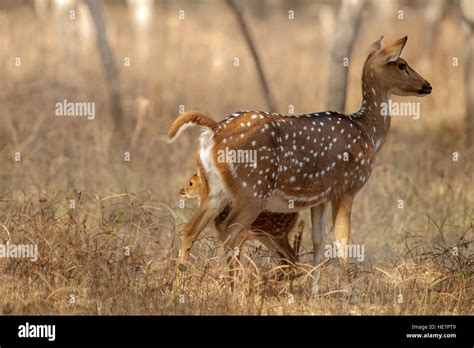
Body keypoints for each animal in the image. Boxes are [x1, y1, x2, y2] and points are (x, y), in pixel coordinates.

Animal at [168, 36, 432, 294]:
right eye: (401, 64)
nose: (428, 85)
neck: (367, 132)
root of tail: (214, 131)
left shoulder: (319, 197)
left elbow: (319, 240)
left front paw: (315, 291)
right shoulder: (347, 187)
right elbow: (343, 240)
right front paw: (348, 292)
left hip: (215, 190)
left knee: (190, 229)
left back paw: (181, 288)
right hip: (254, 189)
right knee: (229, 229)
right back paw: (232, 289)